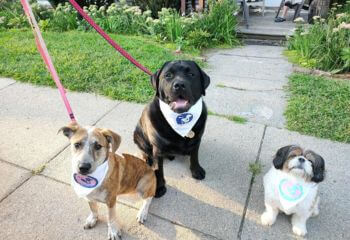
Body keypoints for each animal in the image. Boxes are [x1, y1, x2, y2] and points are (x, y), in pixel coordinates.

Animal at [133, 60, 211, 197]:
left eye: (191, 74)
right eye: (168, 75)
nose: (179, 85)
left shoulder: (197, 140)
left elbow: (195, 156)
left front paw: (196, 170)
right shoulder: (158, 150)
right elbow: (158, 170)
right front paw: (159, 187)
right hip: (138, 135)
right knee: (145, 151)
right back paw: (148, 159)